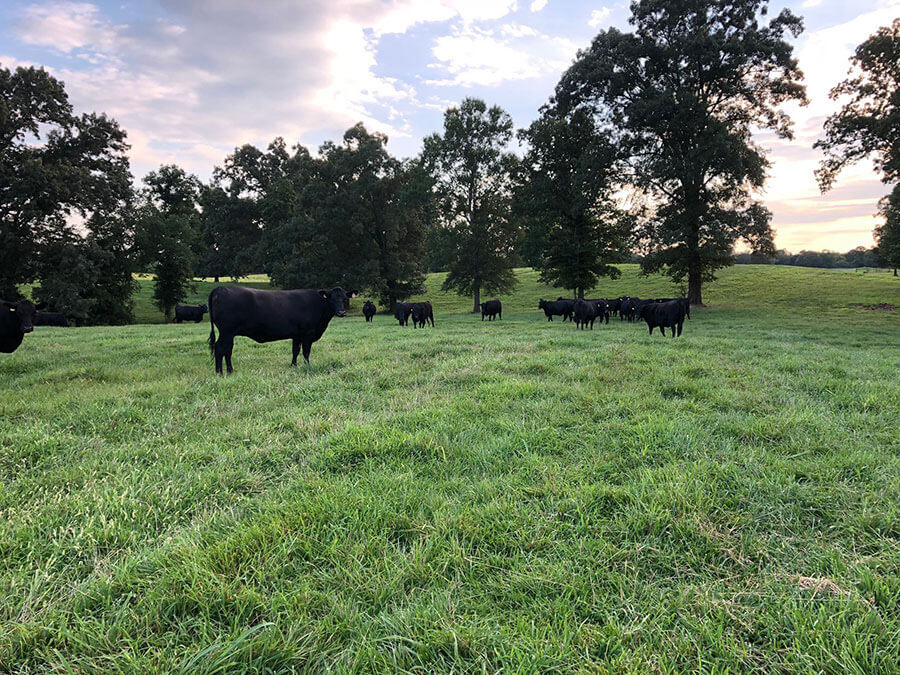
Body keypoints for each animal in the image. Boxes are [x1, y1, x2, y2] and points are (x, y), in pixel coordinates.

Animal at [207, 286, 356, 374]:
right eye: (331, 298)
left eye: (345, 299)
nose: (342, 312)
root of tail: (220, 288)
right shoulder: (308, 333)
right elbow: (306, 352)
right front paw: (308, 367)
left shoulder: (297, 335)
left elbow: (295, 351)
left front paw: (293, 366)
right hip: (226, 331)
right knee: (220, 348)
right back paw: (220, 372)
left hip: (229, 334)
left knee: (227, 350)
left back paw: (230, 370)